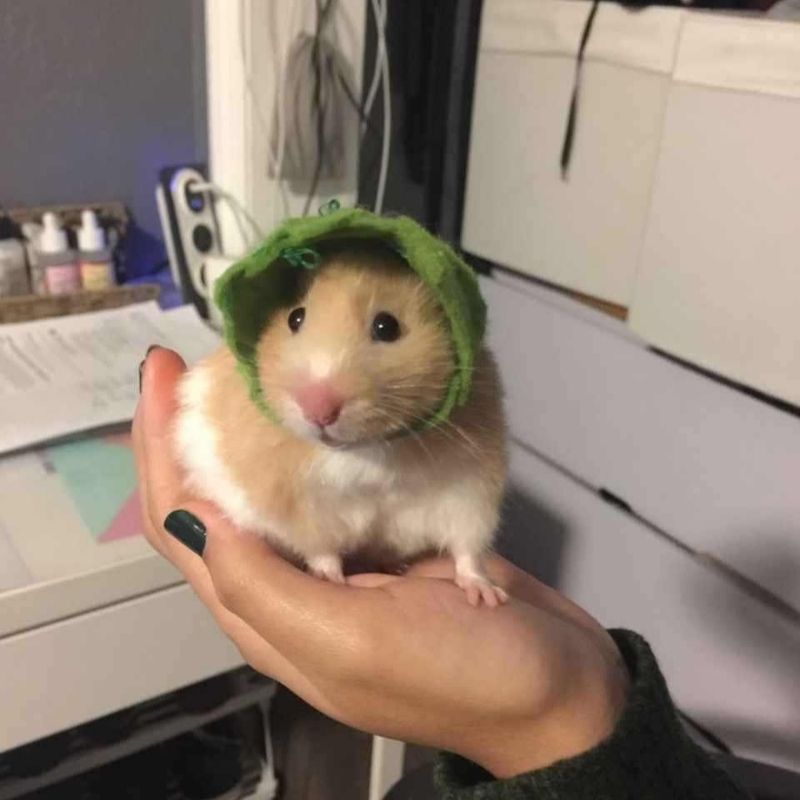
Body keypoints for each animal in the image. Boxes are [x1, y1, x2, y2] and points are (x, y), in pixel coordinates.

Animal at [174, 239, 509, 605]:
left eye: (387, 326)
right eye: (294, 317)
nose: (317, 410)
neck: (366, 452)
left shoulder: (470, 489)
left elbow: (468, 550)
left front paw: (487, 597)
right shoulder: (297, 504)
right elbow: (320, 547)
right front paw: (328, 579)